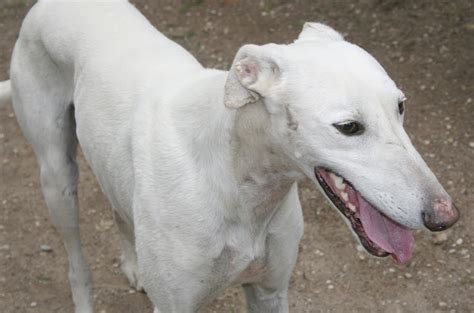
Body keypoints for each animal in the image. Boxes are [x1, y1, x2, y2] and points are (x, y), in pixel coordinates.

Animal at [0, 0, 460, 312]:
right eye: (349, 127)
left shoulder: (270, 291)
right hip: (57, 178)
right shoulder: (175, 305)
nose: (446, 217)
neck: (239, 180)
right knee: (77, 262)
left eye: (401, 106)